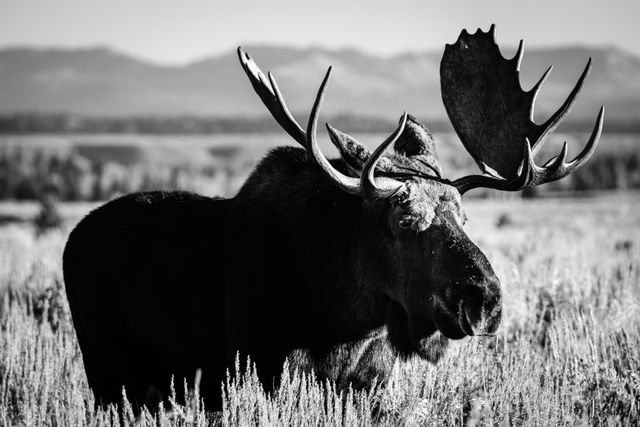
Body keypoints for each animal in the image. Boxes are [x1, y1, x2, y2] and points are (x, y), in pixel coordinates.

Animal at [62, 24, 604, 412]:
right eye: (404, 218)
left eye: (465, 218)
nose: (485, 300)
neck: (346, 316)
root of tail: (74, 238)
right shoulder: (260, 369)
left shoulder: (369, 385)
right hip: (109, 378)